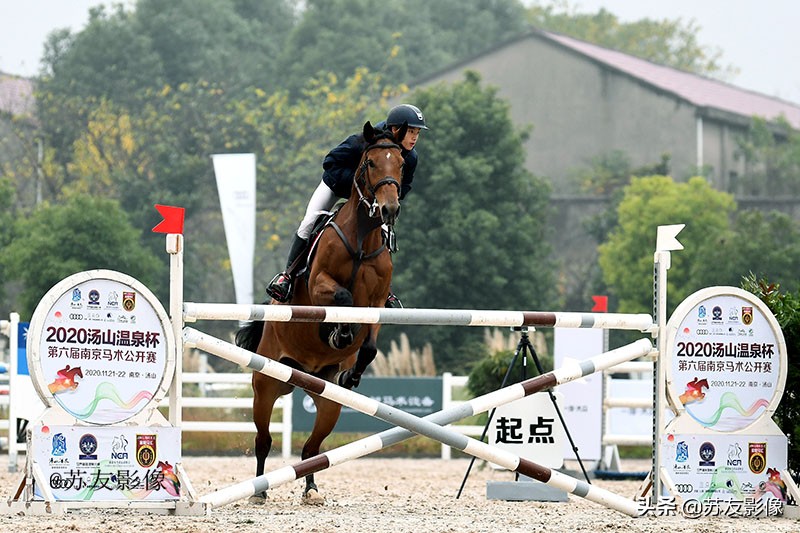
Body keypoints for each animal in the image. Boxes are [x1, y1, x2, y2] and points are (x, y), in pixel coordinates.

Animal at [233, 120, 406, 502]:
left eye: (401, 164)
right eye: (370, 162)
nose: (389, 209)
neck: (362, 238)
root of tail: (301, 375)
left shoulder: (376, 303)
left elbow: (369, 345)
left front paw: (353, 371)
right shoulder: (318, 286)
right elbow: (342, 298)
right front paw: (340, 331)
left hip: (328, 400)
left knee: (312, 449)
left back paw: (311, 488)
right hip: (266, 383)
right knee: (264, 439)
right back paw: (258, 491)